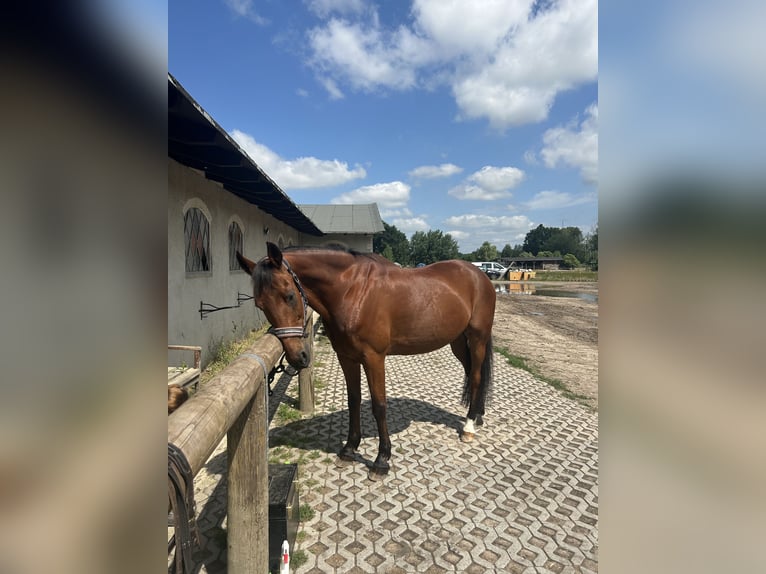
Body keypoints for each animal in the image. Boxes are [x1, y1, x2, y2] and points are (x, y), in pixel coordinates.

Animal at [238, 243, 498, 482]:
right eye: (260, 305)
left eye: (290, 296)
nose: (297, 357)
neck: (352, 291)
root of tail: (479, 274)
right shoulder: (347, 357)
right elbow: (354, 400)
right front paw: (349, 449)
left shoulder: (374, 358)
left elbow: (379, 406)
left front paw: (381, 460)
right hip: (457, 340)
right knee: (471, 372)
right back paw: (478, 415)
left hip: (477, 337)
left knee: (476, 376)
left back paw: (469, 427)